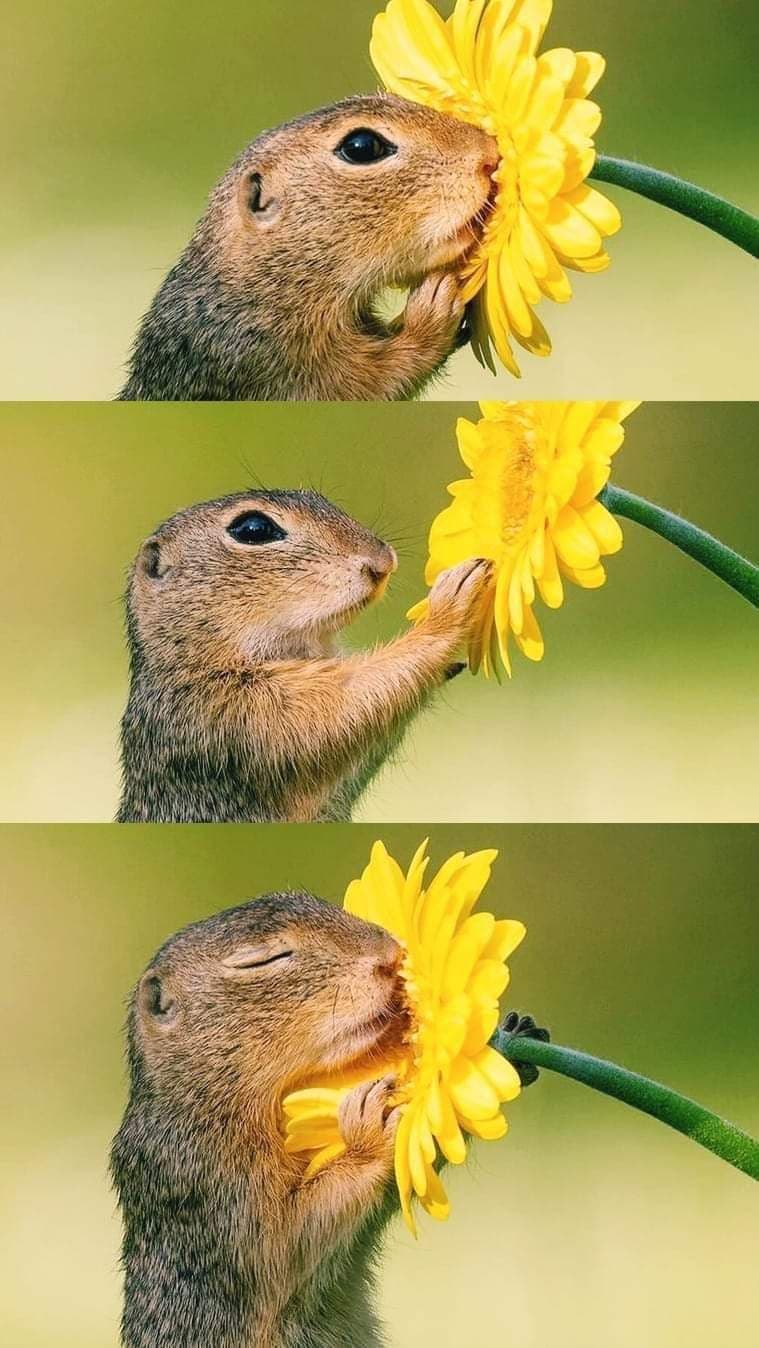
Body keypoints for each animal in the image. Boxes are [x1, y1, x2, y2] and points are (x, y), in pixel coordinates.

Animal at [115, 487, 490, 819]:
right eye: (253, 529)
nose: (384, 561)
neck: (191, 658)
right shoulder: (237, 714)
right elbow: (344, 704)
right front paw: (447, 609)